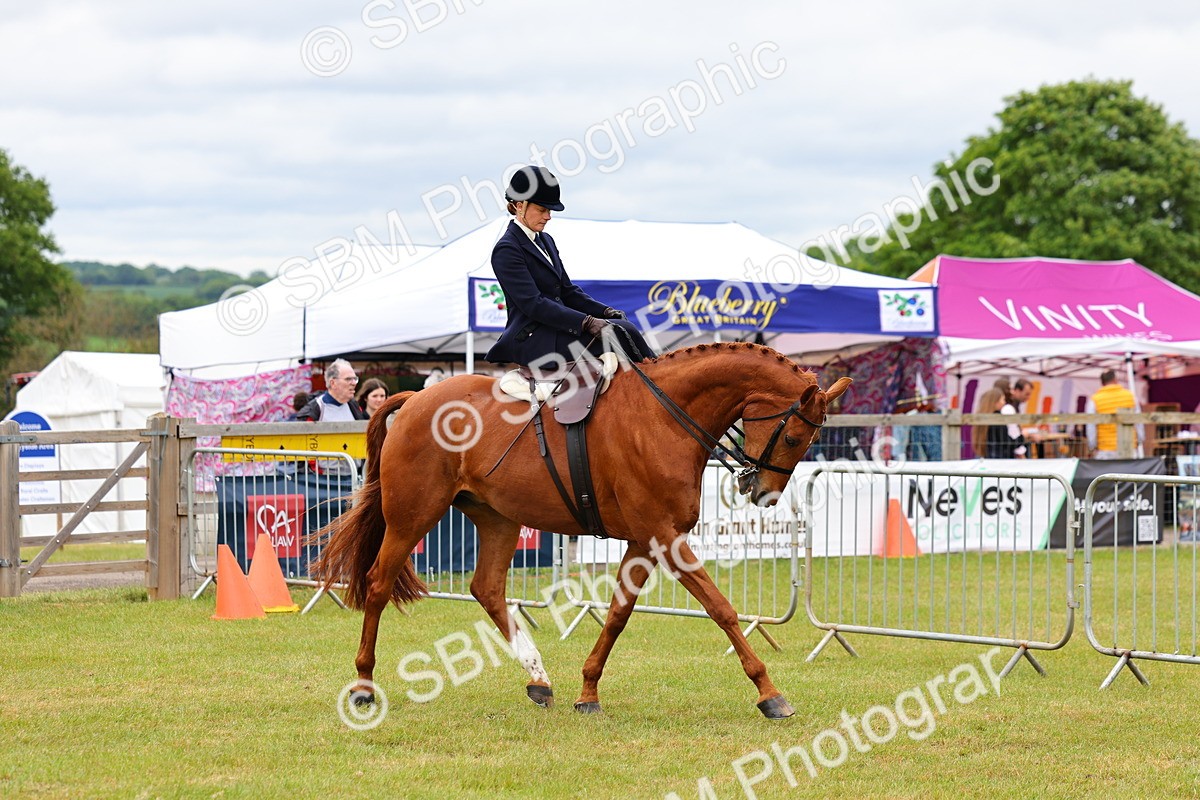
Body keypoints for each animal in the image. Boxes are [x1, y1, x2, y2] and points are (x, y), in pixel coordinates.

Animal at [312, 342, 851, 718]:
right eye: (796, 436)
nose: (764, 494)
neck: (664, 416)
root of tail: (416, 398)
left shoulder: (645, 541)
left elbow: (617, 614)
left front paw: (588, 691)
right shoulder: (665, 537)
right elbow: (721, 608)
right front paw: (770, 693)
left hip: (498, 517)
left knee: (486, 588)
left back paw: (539, 679)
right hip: (413, 515)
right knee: (378, 585)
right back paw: (363, 686)